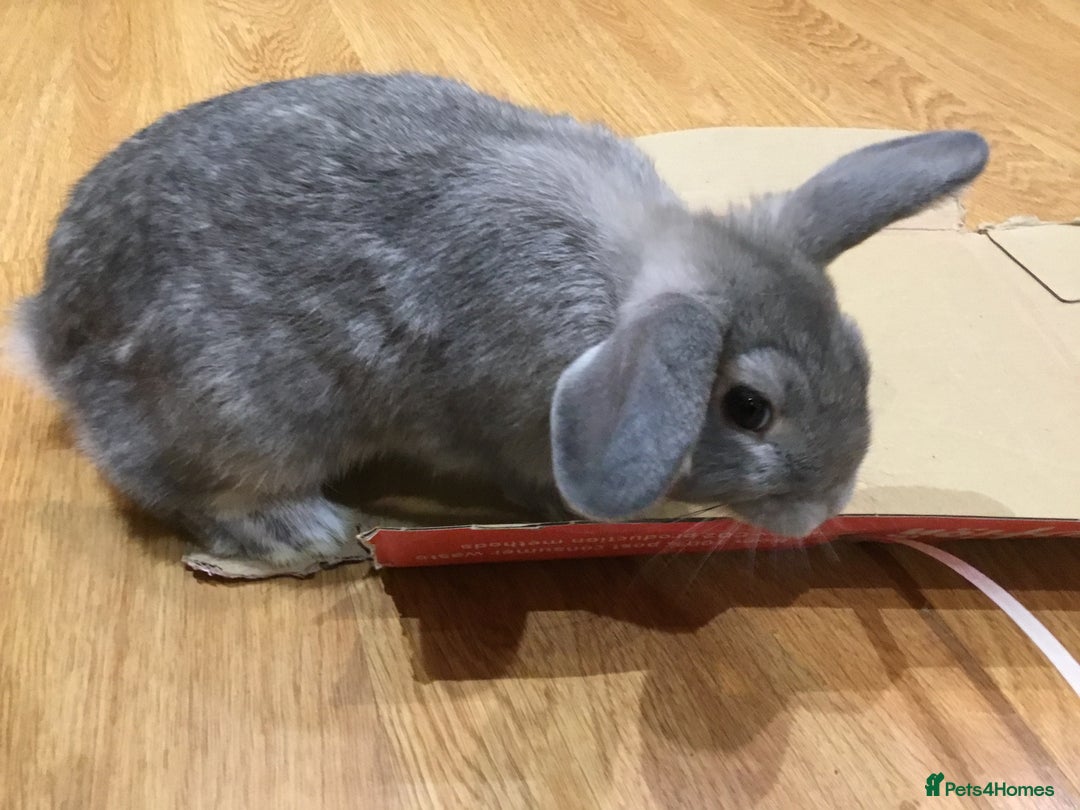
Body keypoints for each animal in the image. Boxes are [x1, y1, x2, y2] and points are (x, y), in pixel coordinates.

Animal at [6, 71, 990, 565]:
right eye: (748, 409)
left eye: (856, 354)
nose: (826, 510)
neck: (617, 292)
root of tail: (51, 330)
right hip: (243, 412)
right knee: (179, 486)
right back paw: (303, 537)